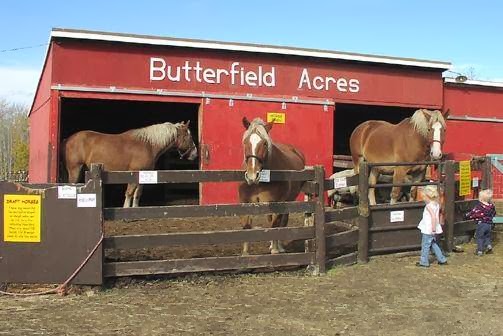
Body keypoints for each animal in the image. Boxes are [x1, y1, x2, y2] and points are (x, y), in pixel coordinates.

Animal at [62, 121, 198, 207]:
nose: (195, 154)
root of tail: (69, 139)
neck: (148, 145)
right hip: (75, 169)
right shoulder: (134, 173)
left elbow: (137, 193)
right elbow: (129, 193)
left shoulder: (143, 174)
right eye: (189, 136)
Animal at [240, 117, 308, 253]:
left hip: (288, 200)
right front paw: (245, 252)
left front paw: (276, 250)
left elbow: (275, 226)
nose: (252, 176)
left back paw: (279, 246)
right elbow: (247, 225)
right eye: (245, 142)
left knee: (282, 221)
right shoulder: (246, 202)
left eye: (265, 143)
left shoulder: (279, 203)